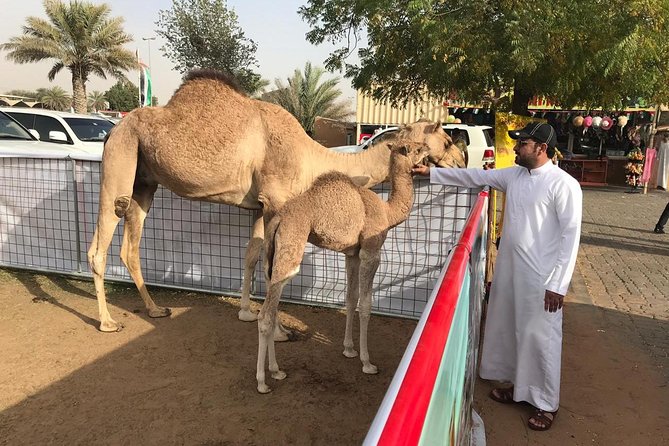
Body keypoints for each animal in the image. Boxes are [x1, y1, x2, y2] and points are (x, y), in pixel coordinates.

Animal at [87, 68, 465, 334]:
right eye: (446, 140)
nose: (461, 162)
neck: (310, 157)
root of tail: (113, 129)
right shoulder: (277, 199)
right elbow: (273, 270)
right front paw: (279, 330)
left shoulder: (261, 205)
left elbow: (252, 256)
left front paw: (245, 312)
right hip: (120, 162)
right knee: (99, 244)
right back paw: (107, 321)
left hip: (144, 183)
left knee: (130, 247)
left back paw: (155, 309)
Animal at [256, 140, 429, 393]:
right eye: (415, 148)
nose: (428, 149)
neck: (387, 212)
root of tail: (278, 219)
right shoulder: (370, 252)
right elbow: (366, 305)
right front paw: (367, 362)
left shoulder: (352, 255)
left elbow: (350, 298)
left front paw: (349, 349)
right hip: (291, 248)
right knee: (265, 316)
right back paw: (262, 381)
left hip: (272, 257)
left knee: (272, 304)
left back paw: (277, 371)